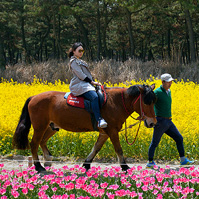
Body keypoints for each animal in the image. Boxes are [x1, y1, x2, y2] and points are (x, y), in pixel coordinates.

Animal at [12, 83, 157, 172]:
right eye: (146, 102)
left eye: (153, 101)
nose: (152, 123)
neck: (115, 102)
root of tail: (33, 97)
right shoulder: (112, 131)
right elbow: (118, 149)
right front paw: (125, 166)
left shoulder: (105, 133)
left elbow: (96, 148)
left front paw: (86, 164)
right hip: (40, 127)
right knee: (34, 143)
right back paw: (38, 166)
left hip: (52, 127)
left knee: (42, 141)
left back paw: (47, 160)